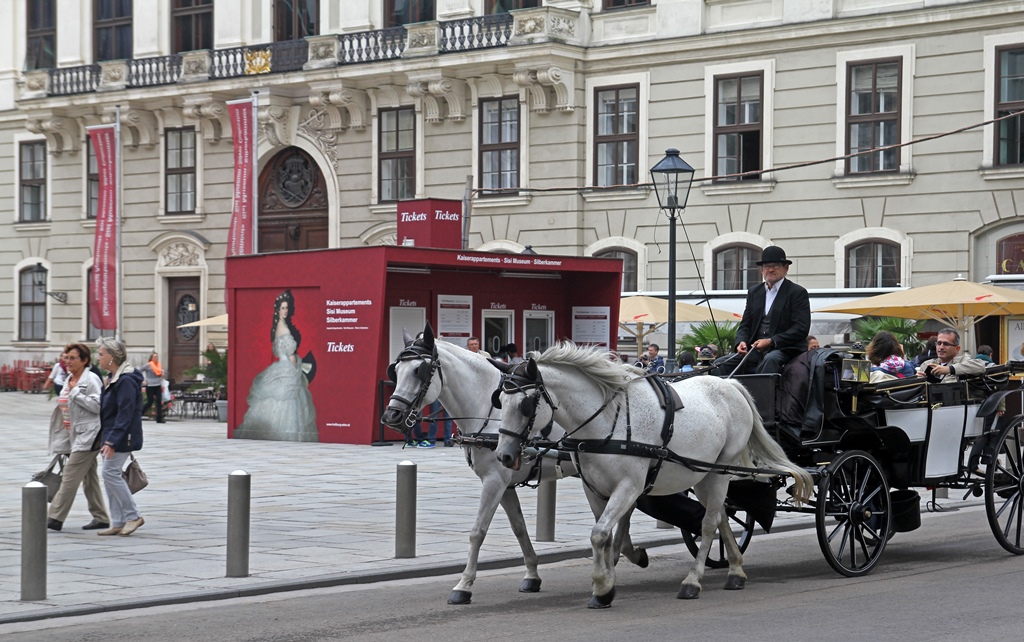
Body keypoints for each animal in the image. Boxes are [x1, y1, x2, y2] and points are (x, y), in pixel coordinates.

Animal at [376, 325, 647, 606]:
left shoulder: (494, 480)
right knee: (625, 512)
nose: (391, 416)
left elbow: (478, 531)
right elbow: (519, 528)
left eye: (419, 370)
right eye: (395, 370)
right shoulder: (505, 485)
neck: (489, 411)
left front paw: (464, 585)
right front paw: (532, 574)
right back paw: (623, 555)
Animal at [491, 341, 811, 606]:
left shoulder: (629, 487)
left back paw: (692, 581)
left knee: (708, 524)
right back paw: (735, 570)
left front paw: (602, 587)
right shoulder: (594, 489)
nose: (503, 455)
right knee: (720, 515)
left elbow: (599, 533)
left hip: (721, 471)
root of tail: (731, 385)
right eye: (499, 402)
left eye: (526, 405)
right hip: (704, 475)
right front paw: (608, 581)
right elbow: (605, 536)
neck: (605, 422)